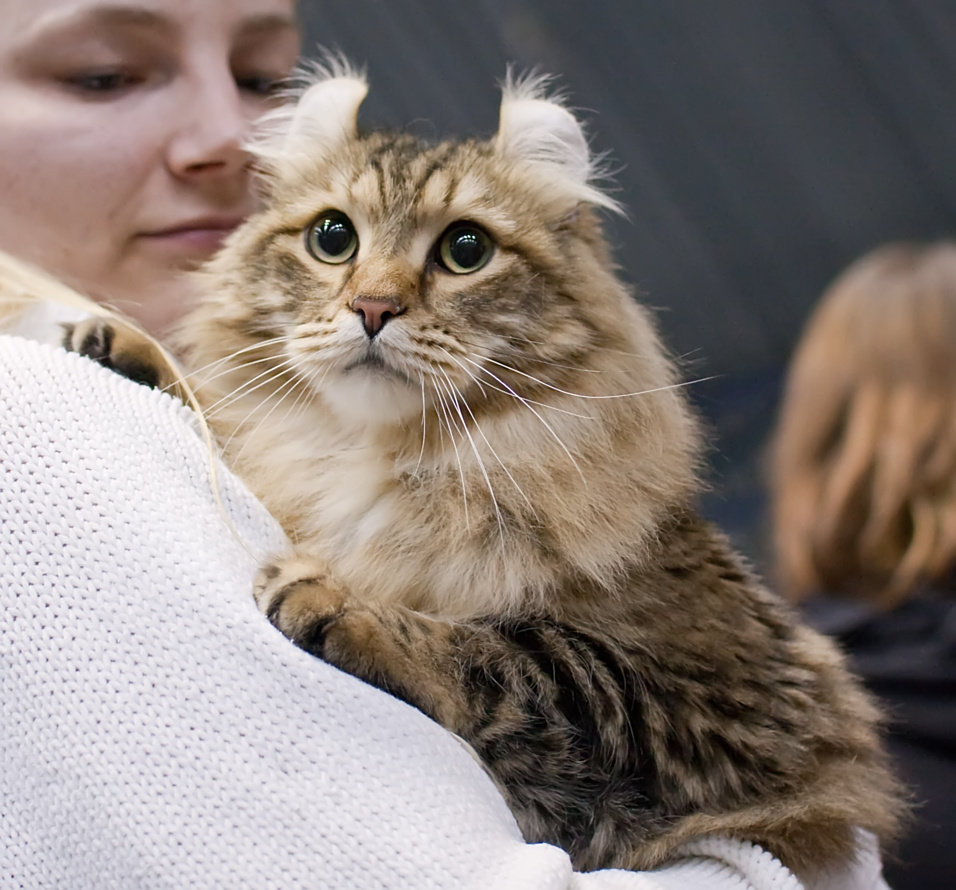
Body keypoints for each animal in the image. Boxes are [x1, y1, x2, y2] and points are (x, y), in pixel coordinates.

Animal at [65, 64, 904, 876]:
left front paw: (336, 600)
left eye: (465, 251)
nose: (373, 308)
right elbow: (211, 404)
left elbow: (512, 658)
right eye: (333, 238)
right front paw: (124, 346)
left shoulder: (715, 707)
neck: (366, 460)